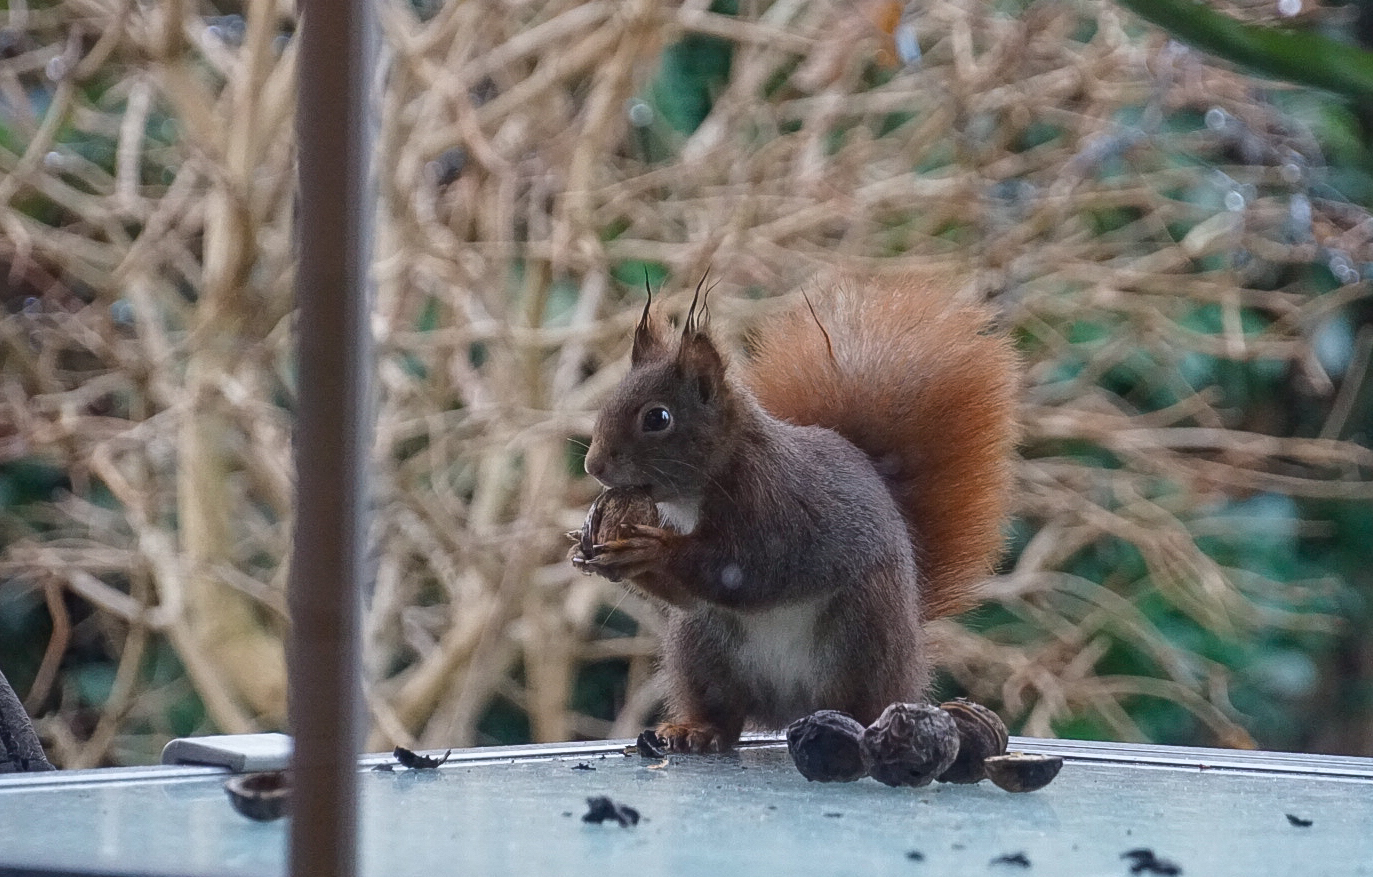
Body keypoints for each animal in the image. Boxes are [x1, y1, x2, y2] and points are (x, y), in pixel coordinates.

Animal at [568, 274, 1021, 757]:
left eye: (658, 418)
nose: (593, 466)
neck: (701, 490)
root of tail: (791, 710)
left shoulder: (779, 508)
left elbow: (749, 570)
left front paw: (648, 549)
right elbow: (686, 594)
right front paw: (590, 550)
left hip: (867, 633)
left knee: (861, 703)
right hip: (702, 650)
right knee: (723, 714)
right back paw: (697, 730)